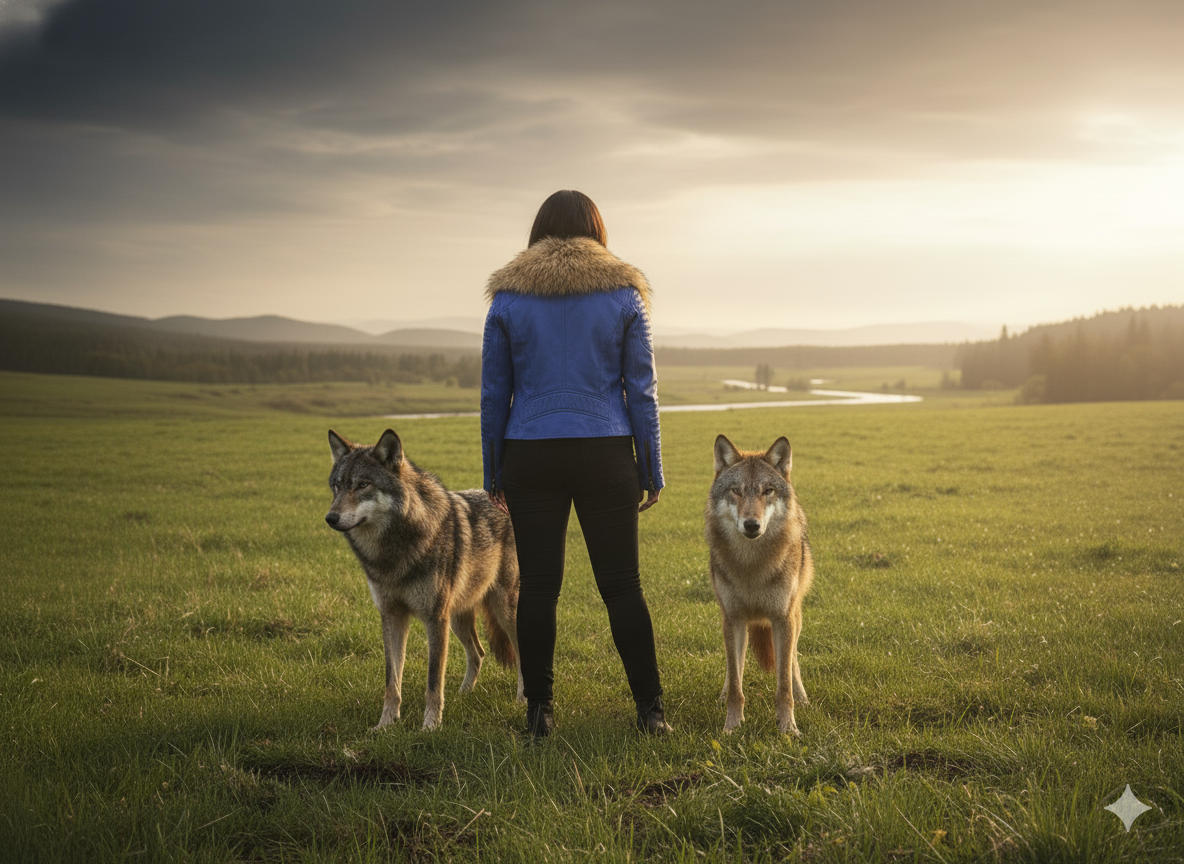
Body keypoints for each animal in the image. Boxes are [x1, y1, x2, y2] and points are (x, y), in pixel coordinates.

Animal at [325, 429, 524, 730]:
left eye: (362, 485)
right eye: (337, 486)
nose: (330, 517)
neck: (393, 553)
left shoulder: (434, 619)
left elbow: (433, 680)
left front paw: (430, 726)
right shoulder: (392, 616)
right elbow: (392, 681)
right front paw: (385, 725)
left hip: (503, 611)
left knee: (520, 651)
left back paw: (523, 698)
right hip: (457, 618)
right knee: (478, 653)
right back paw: (463, 695)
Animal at [705, 434, 814, 735]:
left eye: (767, 491)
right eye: (736, 491)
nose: (751, 525)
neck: (752, 566)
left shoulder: (782, 619)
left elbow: (783, 685)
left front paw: (788, 728)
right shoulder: (732, 619)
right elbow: (736, 683)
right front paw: (731, 727)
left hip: (795, 619)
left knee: (793, 661)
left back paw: (803, 698)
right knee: (735, 667)